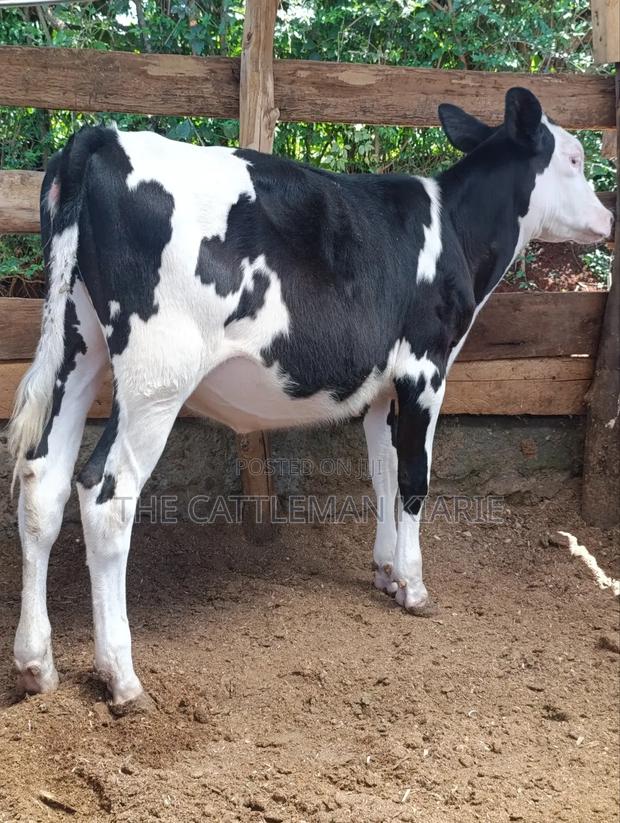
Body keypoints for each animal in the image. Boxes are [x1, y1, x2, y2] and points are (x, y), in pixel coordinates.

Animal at [8, 87, 613, 710]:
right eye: (574, 158)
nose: (608, 218)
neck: (456, 231)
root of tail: (100, 136)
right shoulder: (425, 366)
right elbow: (414, 479)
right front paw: (415, 588)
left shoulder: (381, 387)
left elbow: (383, 473)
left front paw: (386, 570)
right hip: (157, 373)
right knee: (105, 495)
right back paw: (122, 677)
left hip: (78, 343)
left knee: (42, 482)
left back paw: (35, 664)